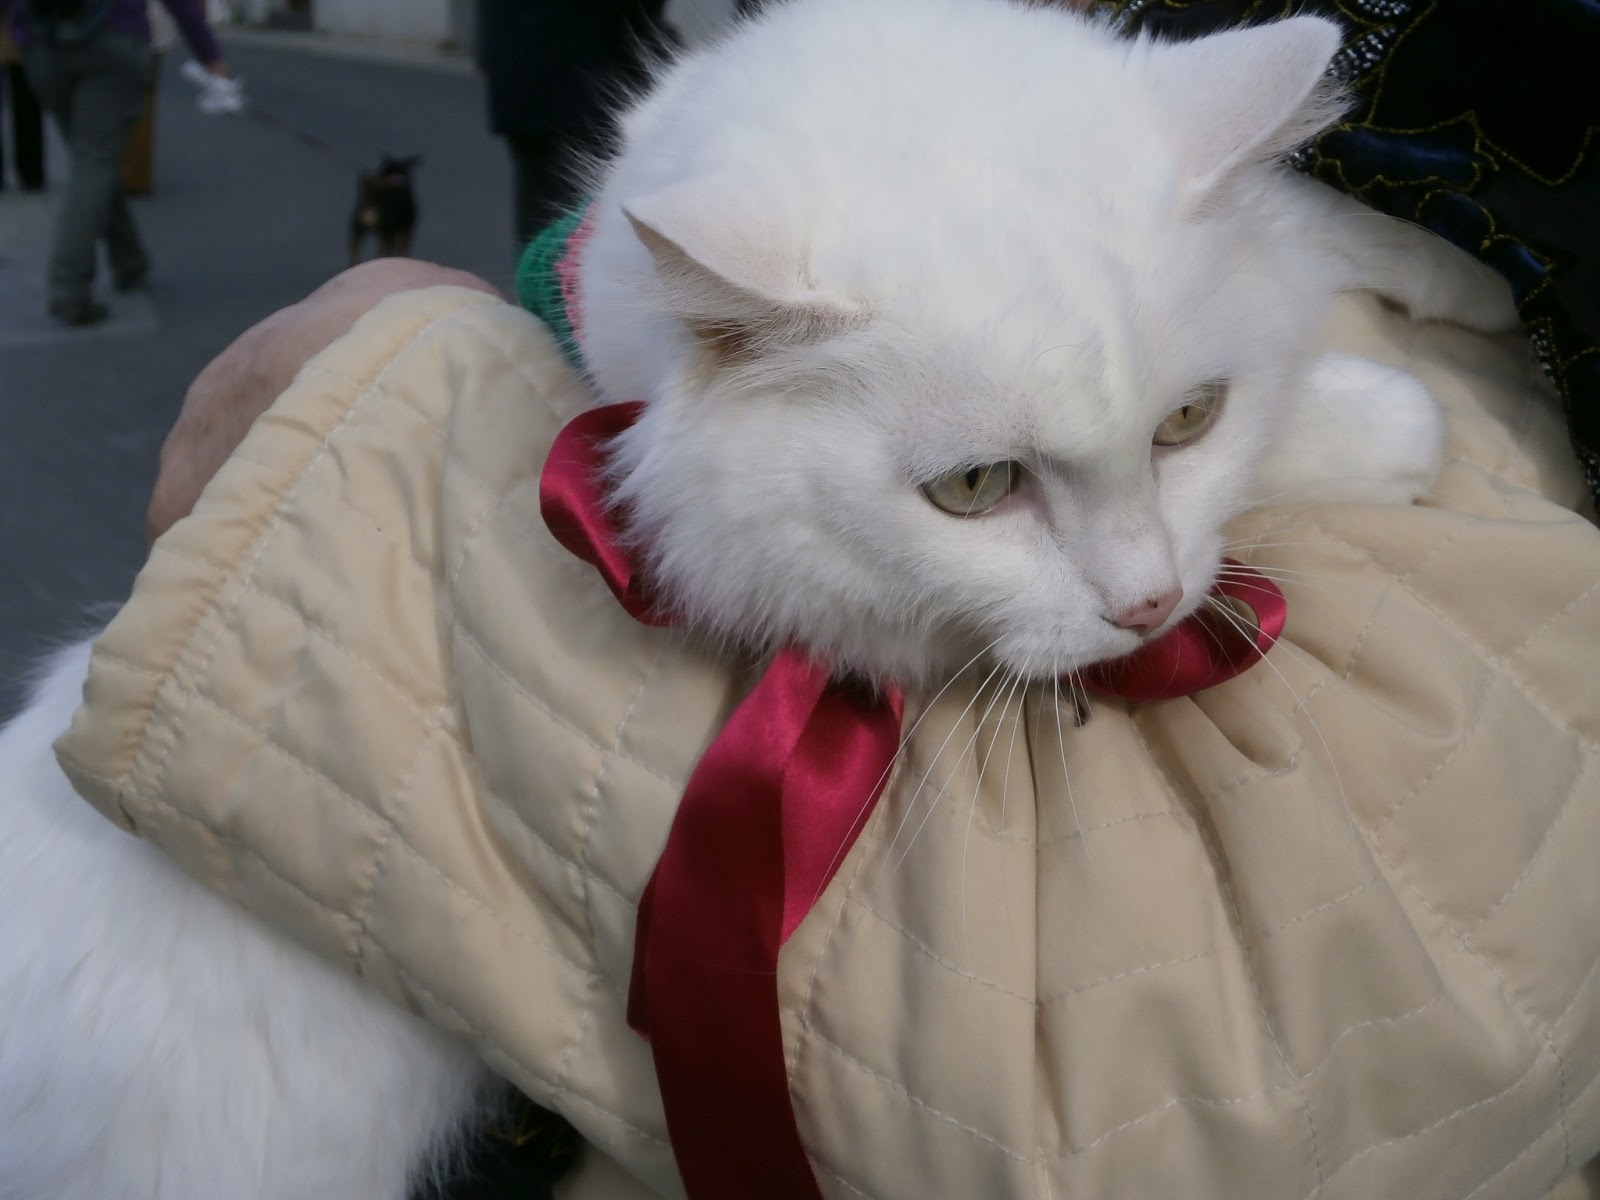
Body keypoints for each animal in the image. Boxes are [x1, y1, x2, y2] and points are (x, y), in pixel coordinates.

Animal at [0, 2, 1516, 1200]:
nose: (1146, 610)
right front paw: (1394, 420)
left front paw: (1460, 283)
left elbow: (1317, 231)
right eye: (975, 488)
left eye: (1189, 418)